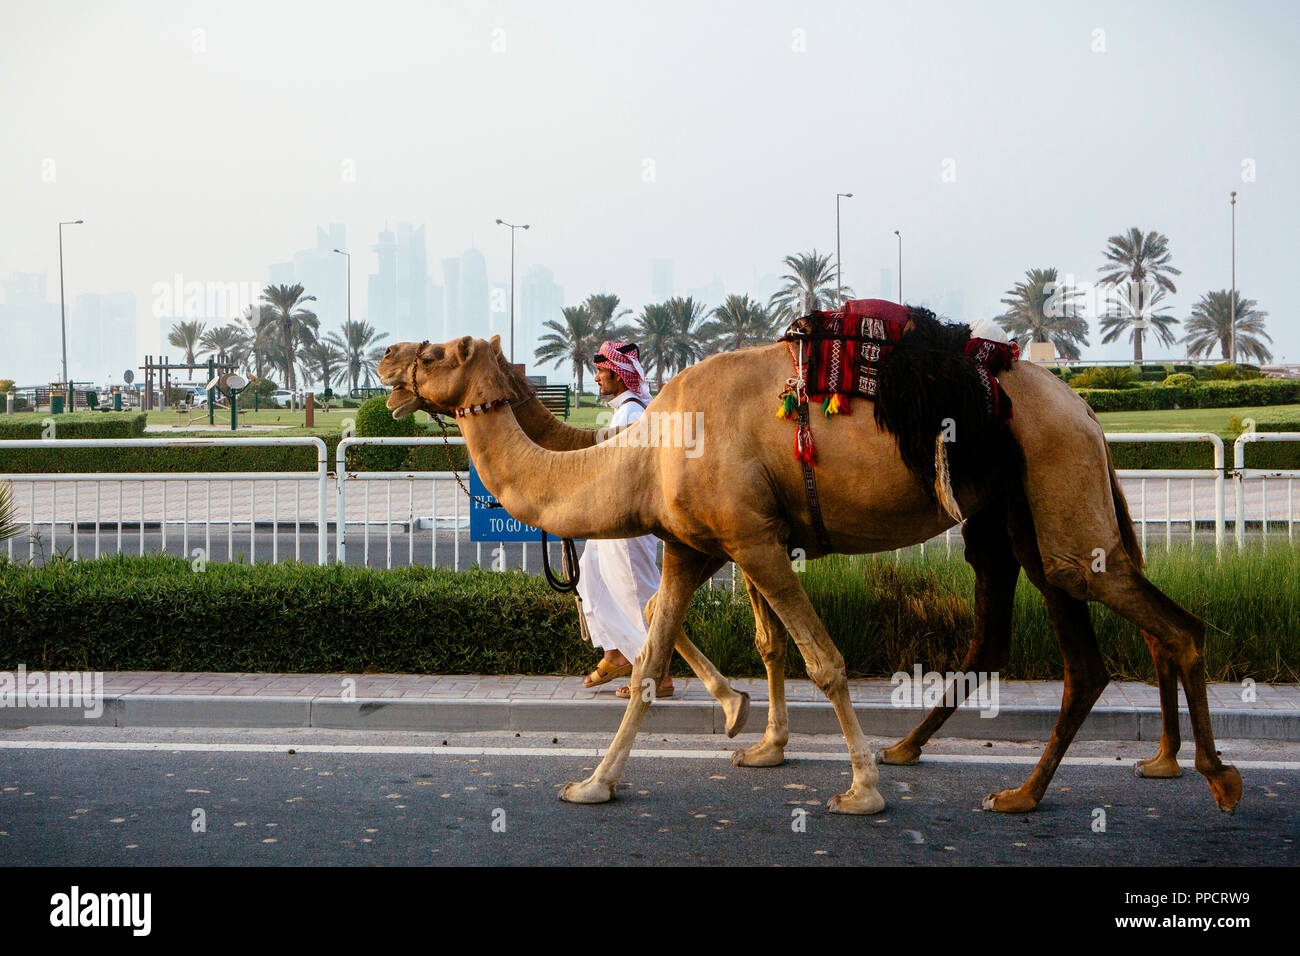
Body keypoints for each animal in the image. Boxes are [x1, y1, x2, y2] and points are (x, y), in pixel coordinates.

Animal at [377, 323, 1237, 816]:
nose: (385, 358)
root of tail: (1087, 412)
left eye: (440, 350)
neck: (647, 450)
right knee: (1078, 651)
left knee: (1170, 624)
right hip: (1020, 517)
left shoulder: (754, 538)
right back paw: (1041, 788)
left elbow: (823, 659)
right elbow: (667, 658)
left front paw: (860, 790)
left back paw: (1210, 776)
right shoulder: (699, 545)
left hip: (1059, 494)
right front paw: (602, 780)